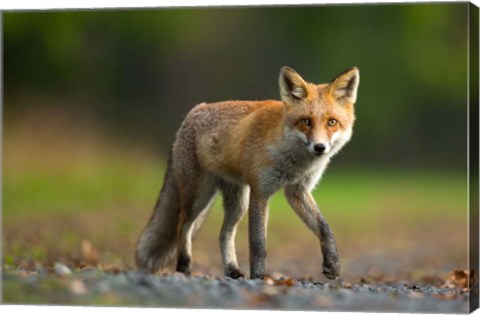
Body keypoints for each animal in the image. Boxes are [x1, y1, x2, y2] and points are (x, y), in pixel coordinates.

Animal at [133, 66, 358, 278]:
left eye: (332, 122)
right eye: (305, 121)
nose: (320, 147)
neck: (293, 161)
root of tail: (194, 111)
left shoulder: (297, 191)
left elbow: (324, 228)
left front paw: (332, 264)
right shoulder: (260, 191)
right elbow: (259, 244)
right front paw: (258, 276)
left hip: (238, 201)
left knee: (224, 233)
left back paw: (231, 269)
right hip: (199, 195)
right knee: (183, 224)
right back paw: (184, 266)